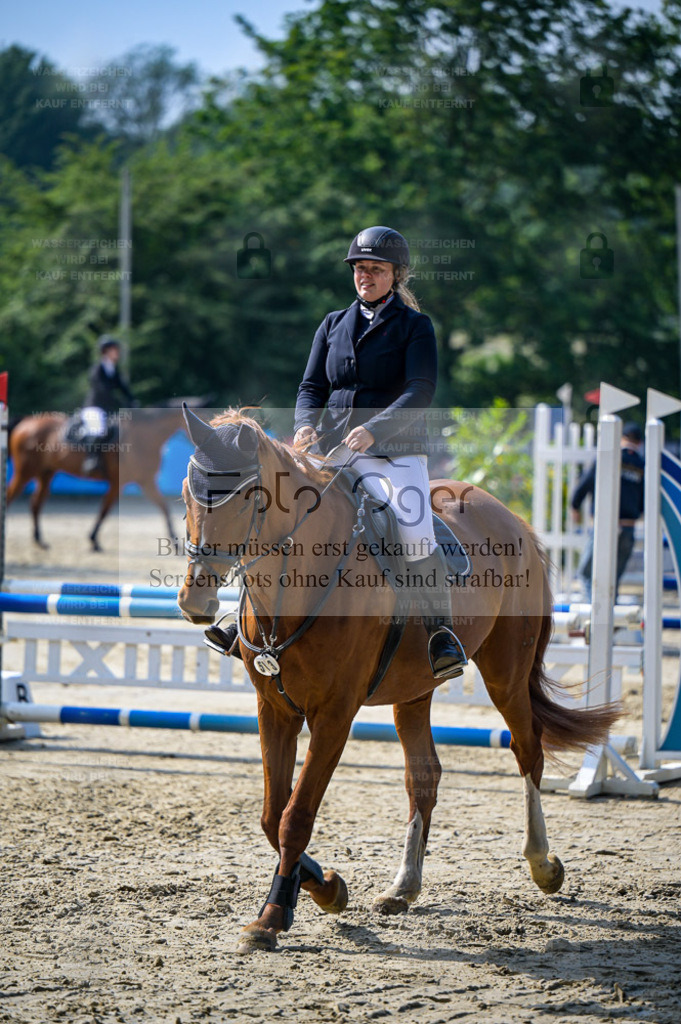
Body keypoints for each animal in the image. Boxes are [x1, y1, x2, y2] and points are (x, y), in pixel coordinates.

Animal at [5, 405, 188, 552]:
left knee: (35, 503)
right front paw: (93, 540)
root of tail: (26, 421)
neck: (144, 438)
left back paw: (40, 541)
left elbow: (165, 508)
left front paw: (176, 544)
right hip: (25, 473)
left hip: (46, 474)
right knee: (11, 495)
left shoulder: (146, 481)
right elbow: (104, 510)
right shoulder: (119, 483)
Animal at [176, 405, 622, 950]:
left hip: (506, 674)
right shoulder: (274, 709)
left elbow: (295, 817)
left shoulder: (334, 715)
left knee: (528, 749)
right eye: (187, 492)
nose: (194, 601)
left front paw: (274, 915)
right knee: (423, 777)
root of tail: (509, 514)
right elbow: (270, 814)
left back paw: (543, 865)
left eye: (246, 496)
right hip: (414, 690)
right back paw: (403, 887)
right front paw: (327, 887)